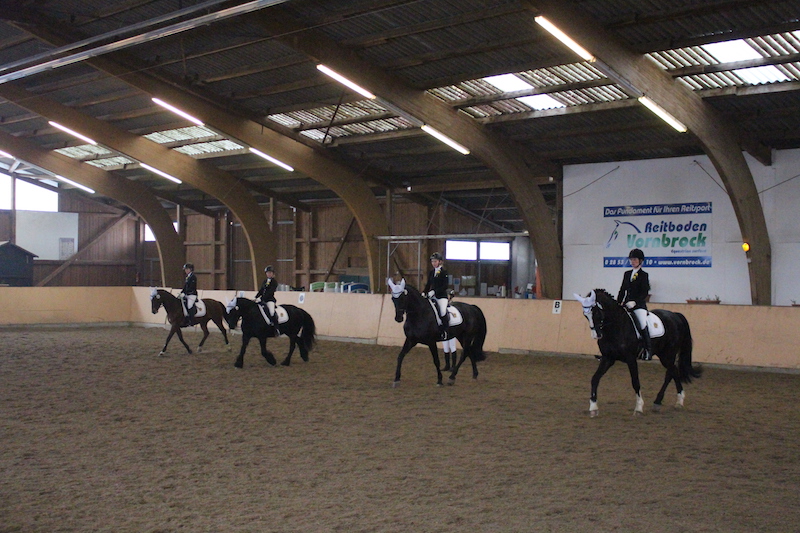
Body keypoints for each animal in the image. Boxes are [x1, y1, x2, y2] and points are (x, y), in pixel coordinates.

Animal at [574, 289, 702, 417]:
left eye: (596, 313)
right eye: (585, 315)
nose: (596, 335)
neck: (616, 327)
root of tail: (675, 315)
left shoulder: (631, 359)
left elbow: (635, 382)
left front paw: (639, 408)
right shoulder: (608, 358)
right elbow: (595, 378)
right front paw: (593, 407)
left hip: (667, 355)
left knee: (671, 373)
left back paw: (670, 401)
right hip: (664, 354)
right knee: (673, 372)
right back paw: (667, 401)